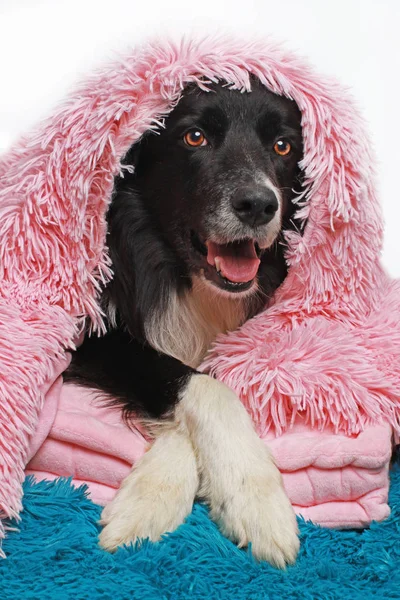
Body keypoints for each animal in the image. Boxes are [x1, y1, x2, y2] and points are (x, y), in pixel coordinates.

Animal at [65, 76, 304, 568]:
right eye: (195, 137)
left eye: (283, 145)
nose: (258, 205)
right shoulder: (91, 334)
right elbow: (196, 382)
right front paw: (255, 496)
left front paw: (152, 494)